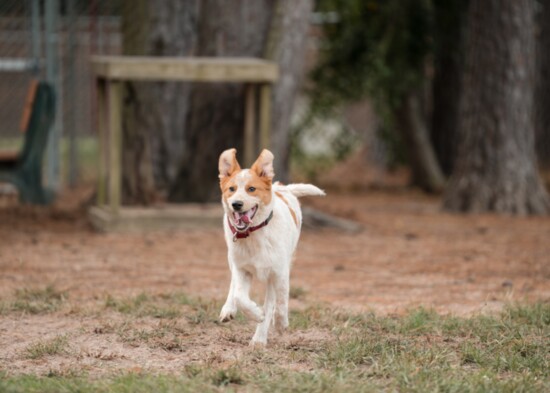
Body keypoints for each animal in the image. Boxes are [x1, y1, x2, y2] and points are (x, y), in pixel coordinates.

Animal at [218, 149, 326, 344]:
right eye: (231, 189)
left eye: (251, 189)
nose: (236, 204)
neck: (254, 234)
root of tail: (282, 187)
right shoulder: (243, 269)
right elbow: (240, 296)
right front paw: (255, 314)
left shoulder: (279, 272)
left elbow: (280, 301)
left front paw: (280, 324)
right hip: (233, 259)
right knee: (234, 286)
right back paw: (229, 309)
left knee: (272, 301)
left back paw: (260, 338)